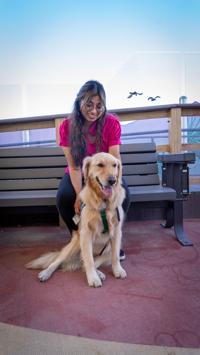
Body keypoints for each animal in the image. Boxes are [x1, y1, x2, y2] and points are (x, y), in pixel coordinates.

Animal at [25, 152, 126, 288]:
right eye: (100, 165)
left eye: (115, 165)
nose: (112, 180)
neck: (103, 203)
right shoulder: (86, 234)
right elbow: (89, 260)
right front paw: (93, 278)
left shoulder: (116, 232)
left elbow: (115, 256)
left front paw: (117, 270)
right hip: (75, 244)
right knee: (60, 261)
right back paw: (46, 273)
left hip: (106, 251)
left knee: (89, 262)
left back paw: (99, 272)